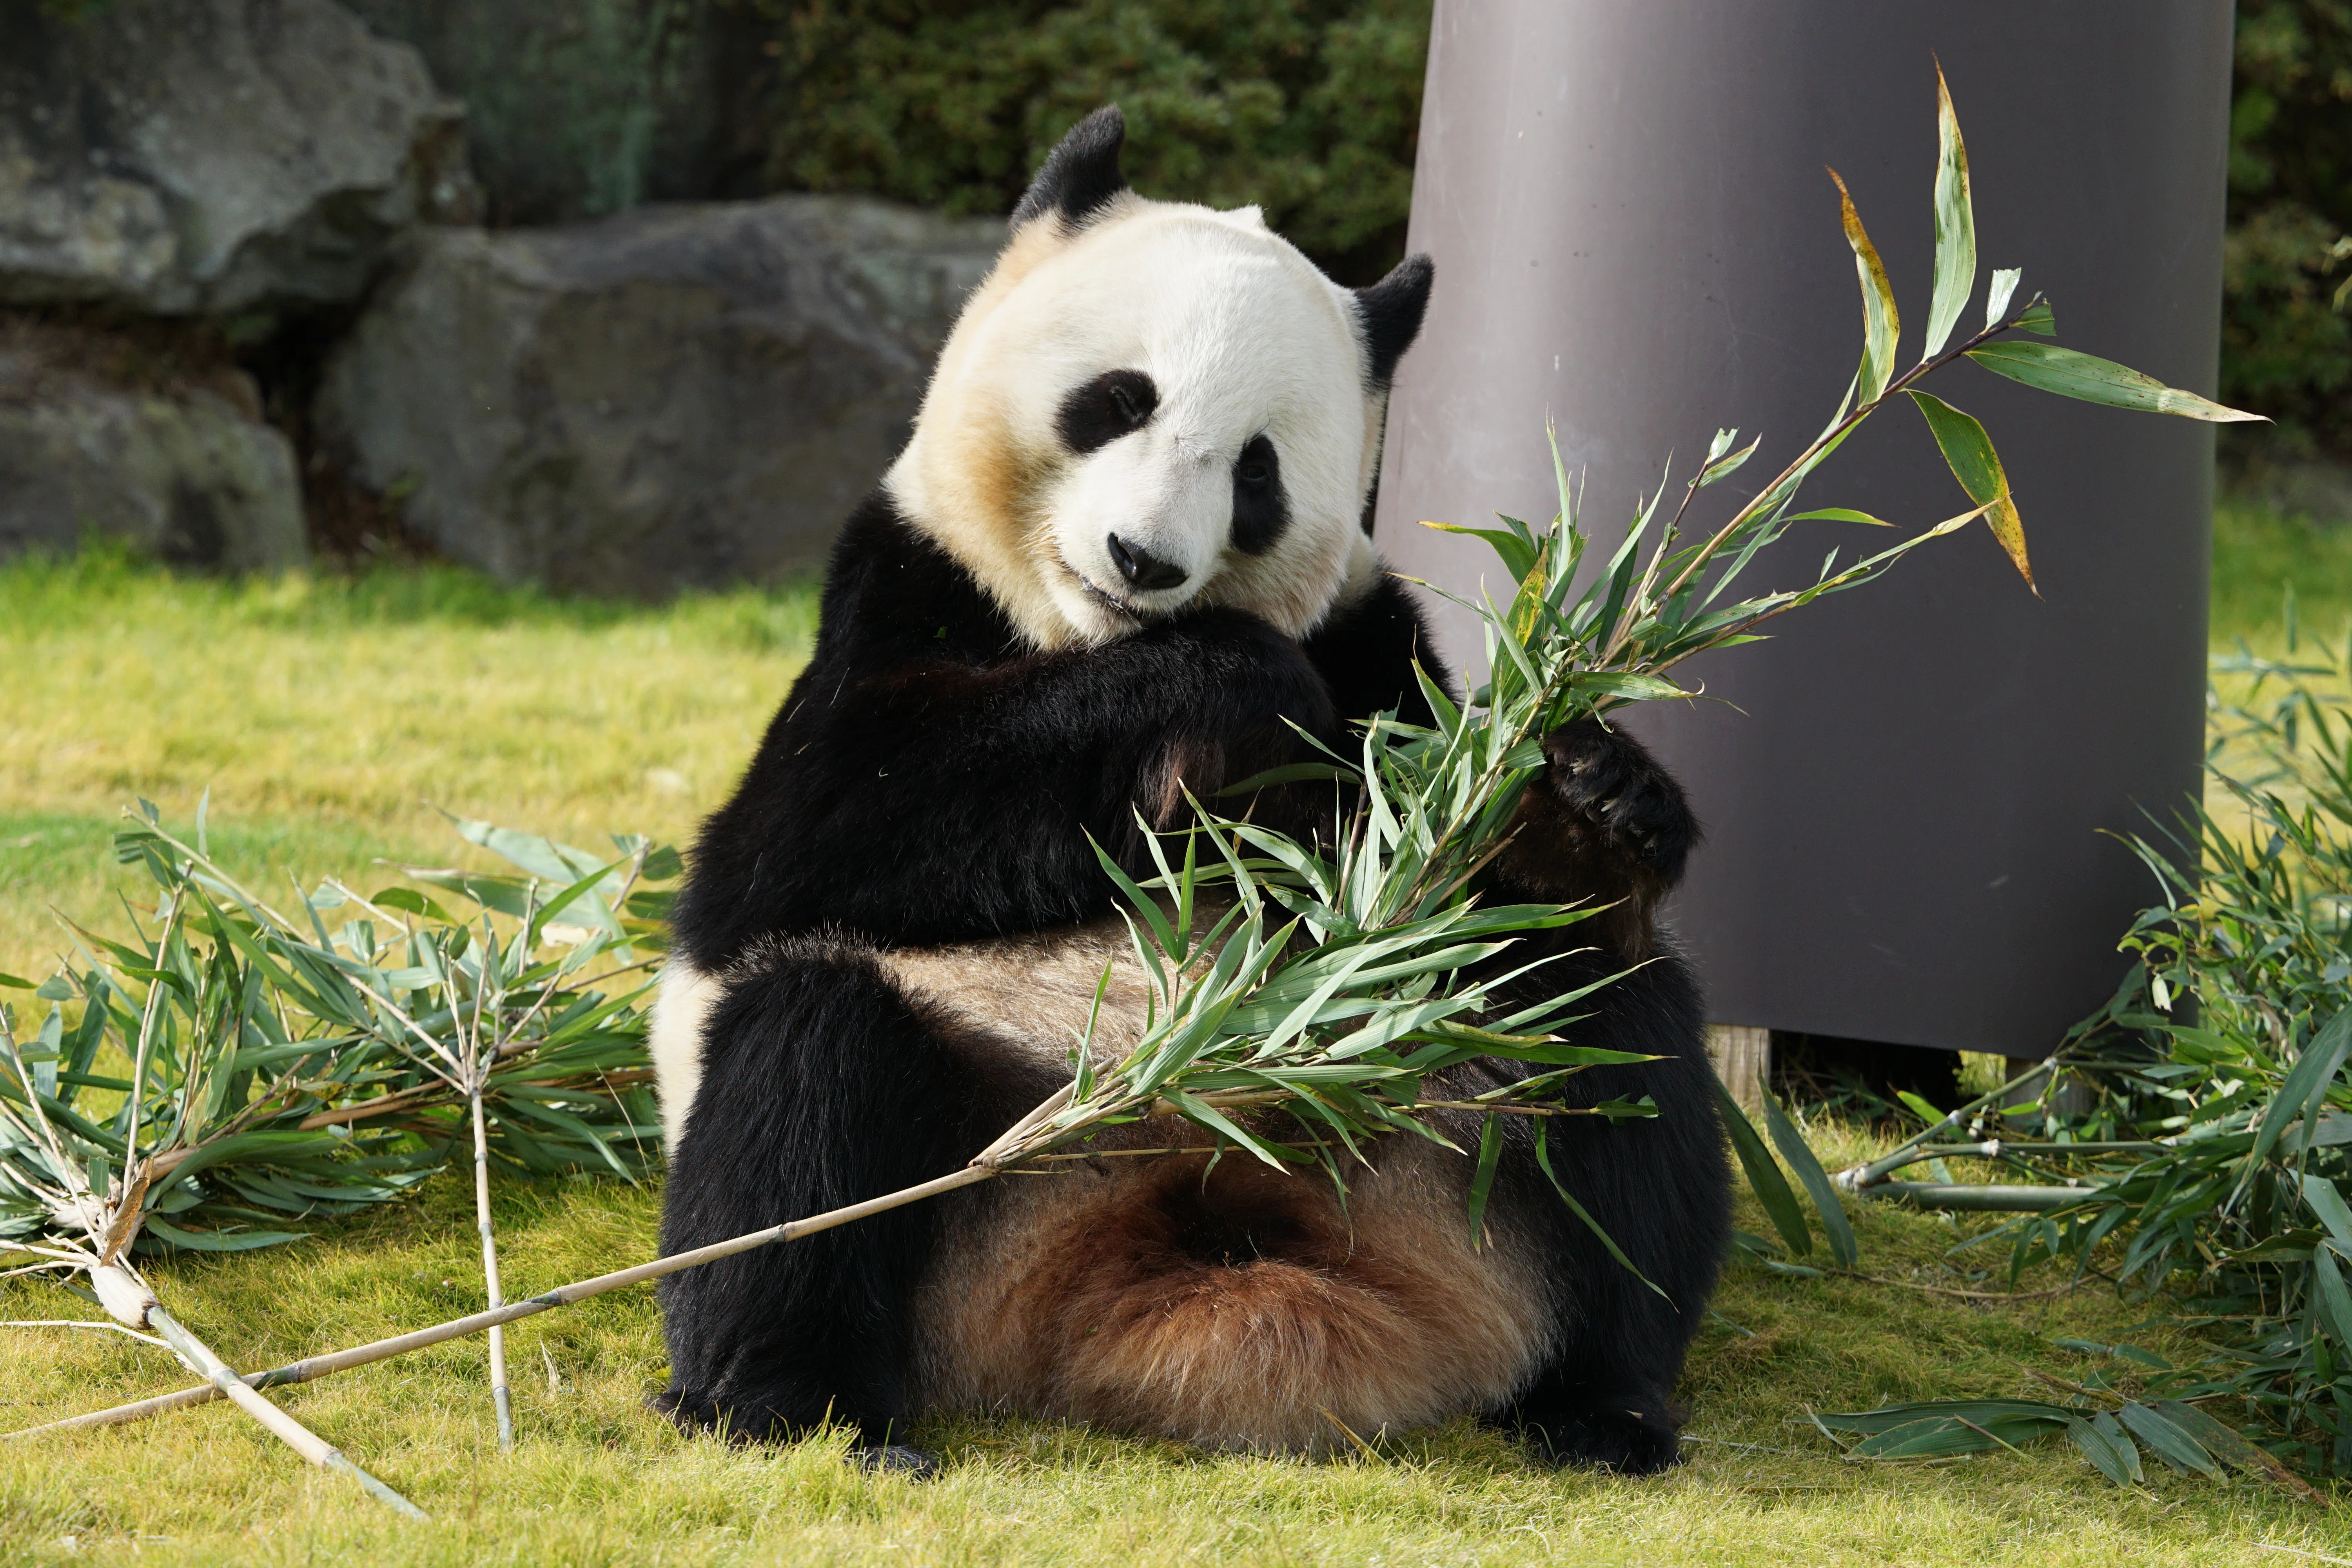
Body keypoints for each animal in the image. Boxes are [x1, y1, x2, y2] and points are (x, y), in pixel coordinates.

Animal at [649, 107, 1731, 1475]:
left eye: (1257, 471)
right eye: (1118, 400)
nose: (1142, 561)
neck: (1086, 636)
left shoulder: (1381, 659)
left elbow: (1482, 858)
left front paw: (1586, 797)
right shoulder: (899, 592)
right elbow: (807, 838)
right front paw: (1233, 690)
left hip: (1445, 1111)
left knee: (1604, 1025)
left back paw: (1601, 1406)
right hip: (978, 1149)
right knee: (806, 1065)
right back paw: (797, 1401)